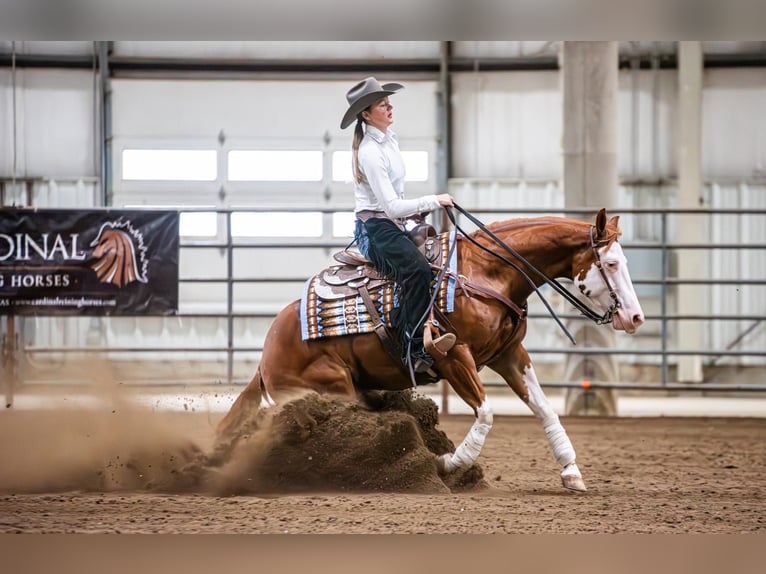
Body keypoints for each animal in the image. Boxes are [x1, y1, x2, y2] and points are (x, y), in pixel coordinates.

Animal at [217, 208, 645, 492]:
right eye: (610, 263)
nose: (636, 317)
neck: (487, 272)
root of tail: (265, 358)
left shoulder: (509, 355)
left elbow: (543, 408)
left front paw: (571, 470)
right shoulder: (452, 356)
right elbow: (486, 414)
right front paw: (447, 464)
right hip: (333, 387)